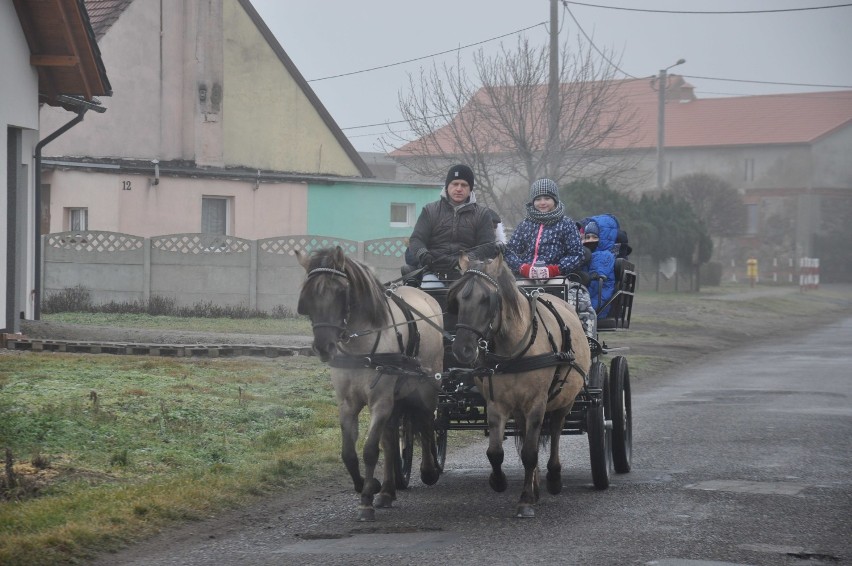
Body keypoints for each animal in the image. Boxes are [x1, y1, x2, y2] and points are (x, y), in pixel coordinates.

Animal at [296, 246, 442, 520]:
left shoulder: (380, 402)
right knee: (390, 439)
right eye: (307, 295)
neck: (360, 349)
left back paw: (429, 470)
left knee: (428, 425)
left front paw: (366, 501)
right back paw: (387, 491)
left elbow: (370, 450)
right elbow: (349, 453)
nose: (323, 347)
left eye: (340, 292)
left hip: (427, 387)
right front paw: (369, 485)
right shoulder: (347, 404)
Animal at [446, 253, 592, 520]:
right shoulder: (497, 404)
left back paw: (553, 478)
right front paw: (499, 481)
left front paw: (525, 501)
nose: (462, 350)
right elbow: (496, 452)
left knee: (555, 433)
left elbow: (530, 453)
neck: (513, 351)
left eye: (487, 299)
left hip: (564, 402)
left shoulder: (536, 404)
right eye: (458, 299)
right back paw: (534, 485)